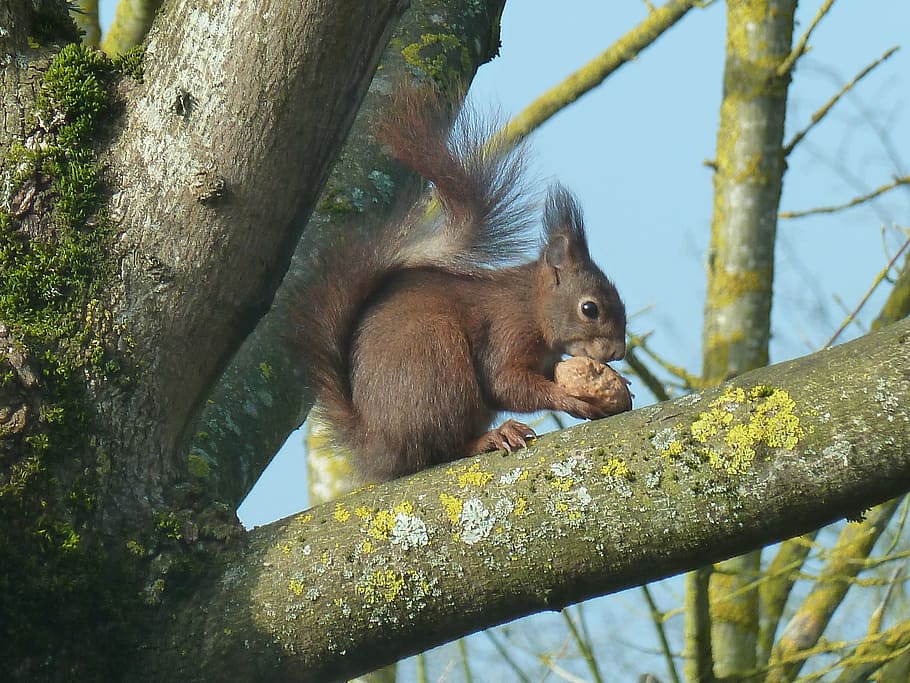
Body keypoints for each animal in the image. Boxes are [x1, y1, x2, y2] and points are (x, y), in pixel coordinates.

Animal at [295, 86, 627, 482]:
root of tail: (377, 444)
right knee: (443, 448)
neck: (532, 305)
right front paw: (569, 398)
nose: (617, 353)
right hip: (438, 365)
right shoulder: (507, 330)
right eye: (590, 309)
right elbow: (505, 382)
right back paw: (492, 437)